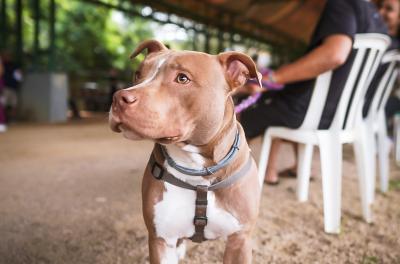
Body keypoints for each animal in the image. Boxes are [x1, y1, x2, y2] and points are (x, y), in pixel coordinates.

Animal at [108, 39, 262, 264]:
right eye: (138, 74)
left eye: (182, 78)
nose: (118, 97)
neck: (197, 169)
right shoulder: (161, 240)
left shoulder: (239, 240)